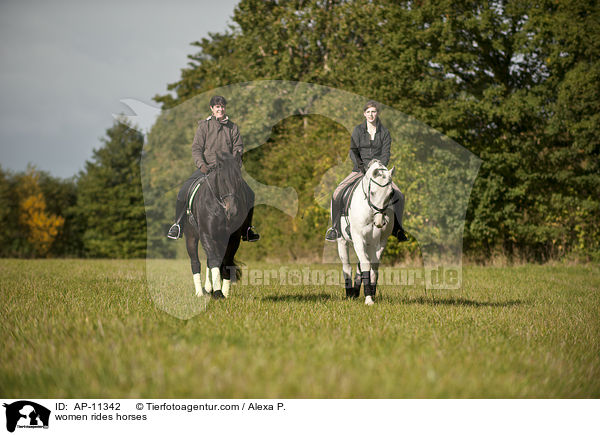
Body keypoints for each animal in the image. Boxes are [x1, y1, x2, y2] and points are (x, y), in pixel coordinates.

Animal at [183, 153, 248, 300]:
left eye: (238, 179)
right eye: (222, 180)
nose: (232, 211)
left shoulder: (233, 238)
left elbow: (226, 261)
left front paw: (224, 293)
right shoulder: (206, 235)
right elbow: (213, 261)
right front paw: (218, 293)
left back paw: (208, 289)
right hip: (191, 237)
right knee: (196, 262)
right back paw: (200, 292)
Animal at [338, 160, 394, 306]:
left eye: (391, 194)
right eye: (372, 192)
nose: (379, 222)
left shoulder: (380, 243)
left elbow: (373, 265)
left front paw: (371, 294)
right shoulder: (358, 238)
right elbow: (365, 264)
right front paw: (368, 299)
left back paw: (356, 291)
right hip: (342, 241)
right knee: (347, 266)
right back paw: (349, 293)